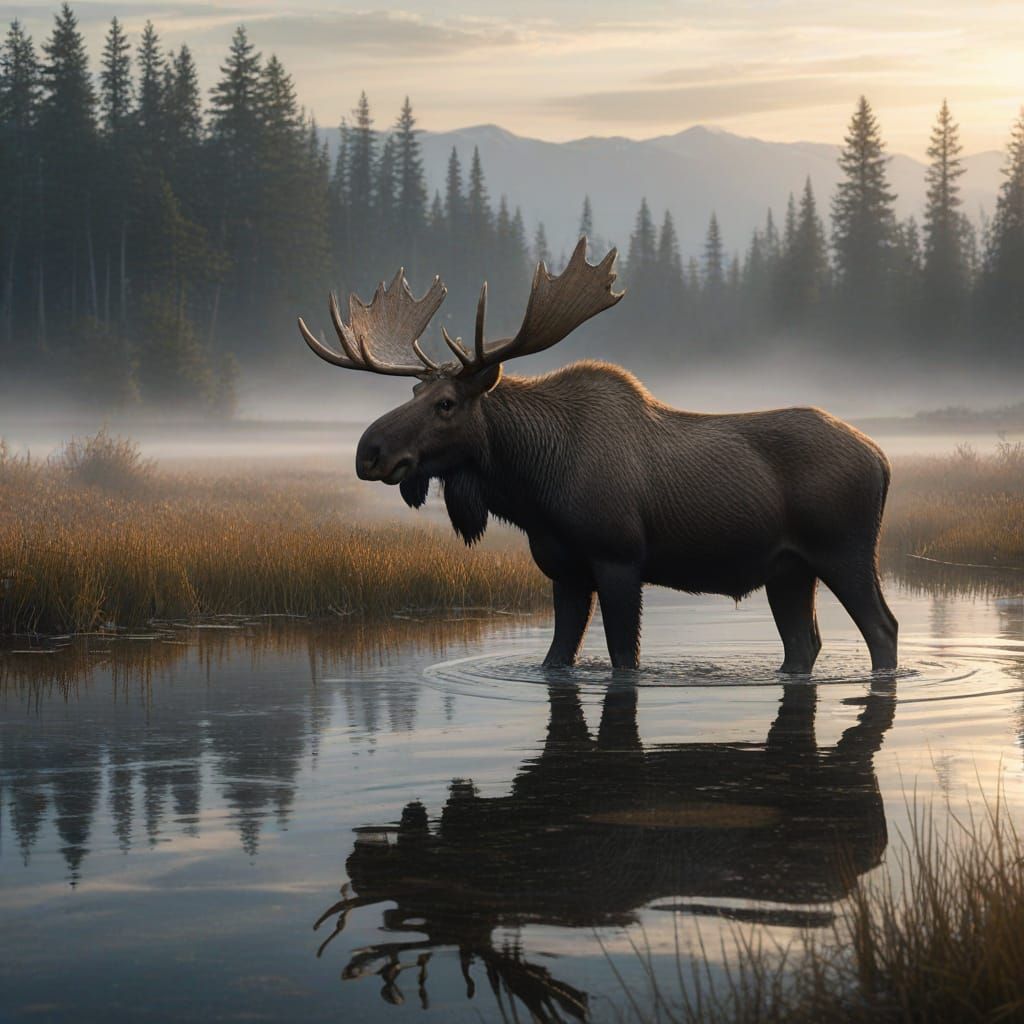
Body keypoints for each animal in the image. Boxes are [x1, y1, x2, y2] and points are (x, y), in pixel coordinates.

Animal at [298, 238, 898, 673]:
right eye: (412, 392)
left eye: (446, 403)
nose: (369, 451)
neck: (533, 487)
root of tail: (882, 460)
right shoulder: (563, 569)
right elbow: (555, 659)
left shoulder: (619, 559)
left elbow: (623, 659)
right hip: (788, 569)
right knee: (803, 645)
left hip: (844, 551)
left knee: (882, 628)